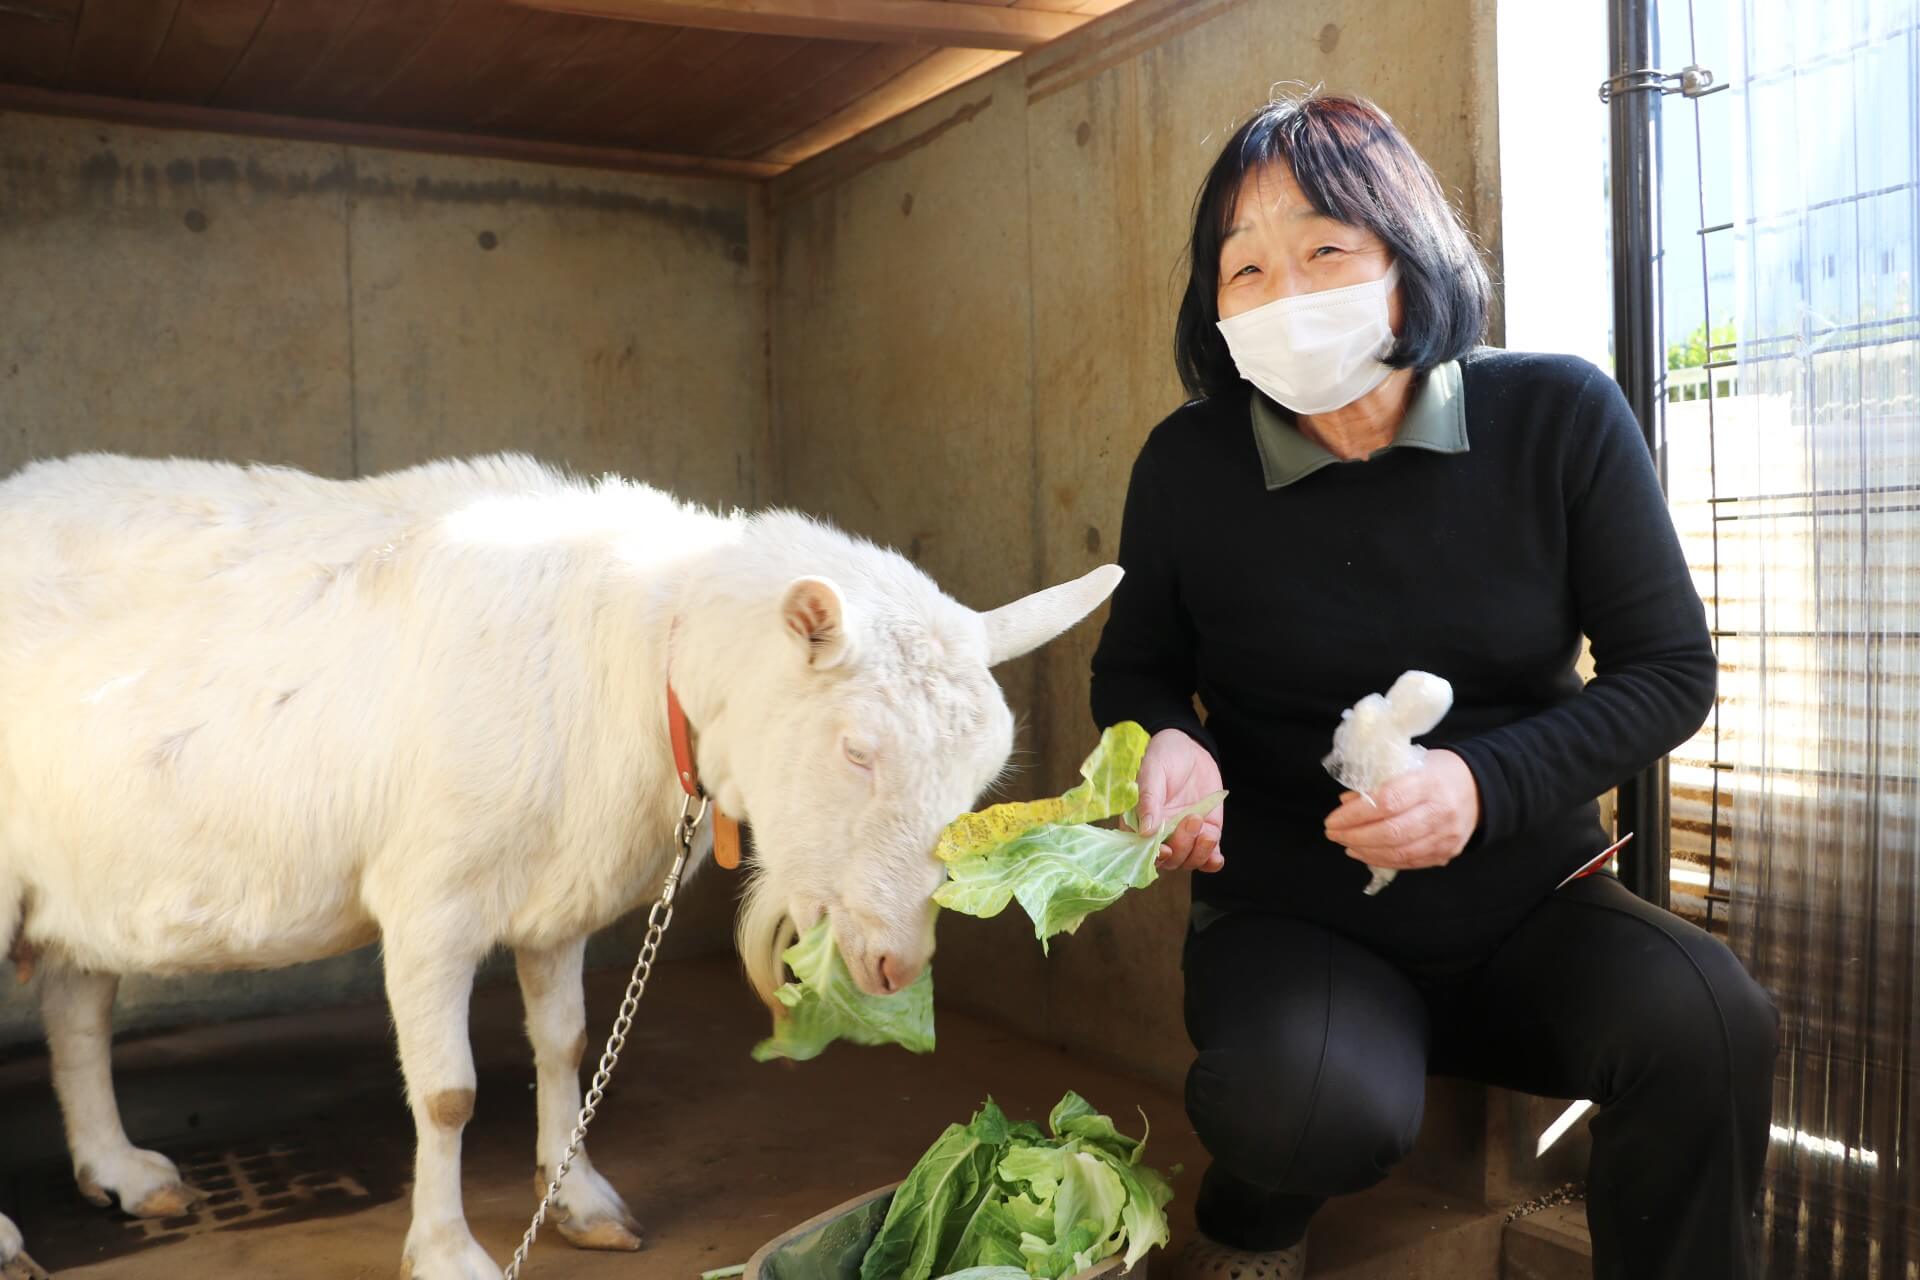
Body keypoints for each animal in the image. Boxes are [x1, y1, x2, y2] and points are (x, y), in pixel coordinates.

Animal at [0, 454, 1121, 1274]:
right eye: (856, 749)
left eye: (981, 777)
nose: (894, 966)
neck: (638, 652)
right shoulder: (429, 900)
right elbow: (447, 1094)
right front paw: (448, 1251)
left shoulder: (554, 894)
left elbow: (569, 1043)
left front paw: (577, 1194)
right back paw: (16, 1237)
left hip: (78, 871)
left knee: (76, 1005)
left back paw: (121, 1168)